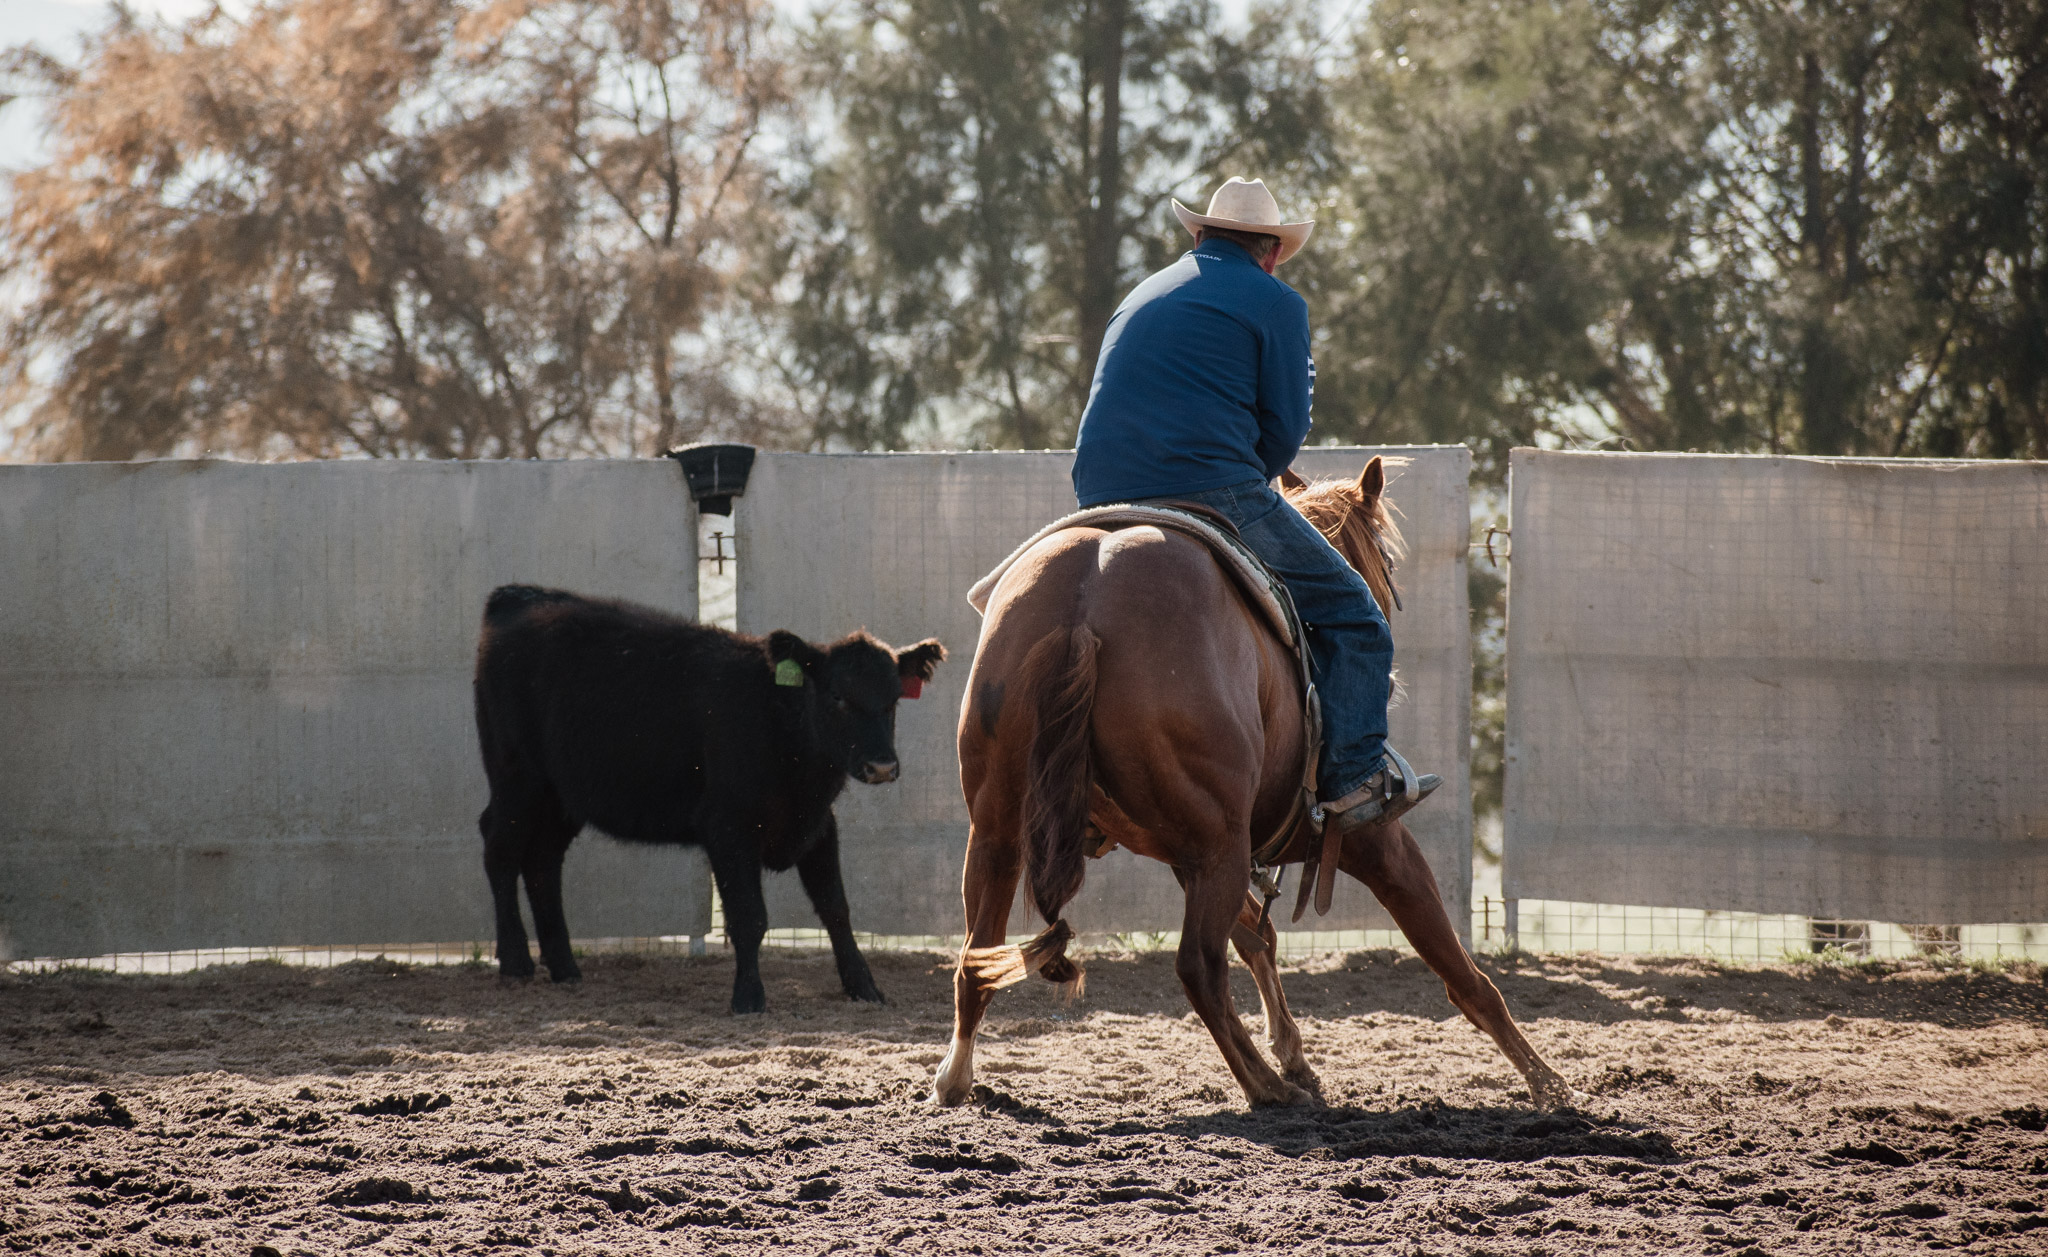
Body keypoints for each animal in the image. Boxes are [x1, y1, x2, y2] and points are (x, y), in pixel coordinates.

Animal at [933, 456, 1574, 1109]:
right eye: (1385, 561)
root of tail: (1082, 610)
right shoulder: (1372, 841)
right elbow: (1457, 967)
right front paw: (1549, 1084)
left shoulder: (1197, 851)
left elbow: (1257, 939)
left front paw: (1295, 1053)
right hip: (1218, 844)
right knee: (1198, 966)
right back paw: (1265, 1087)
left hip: (1001, 832)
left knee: (976, 956)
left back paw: (954, 1078)